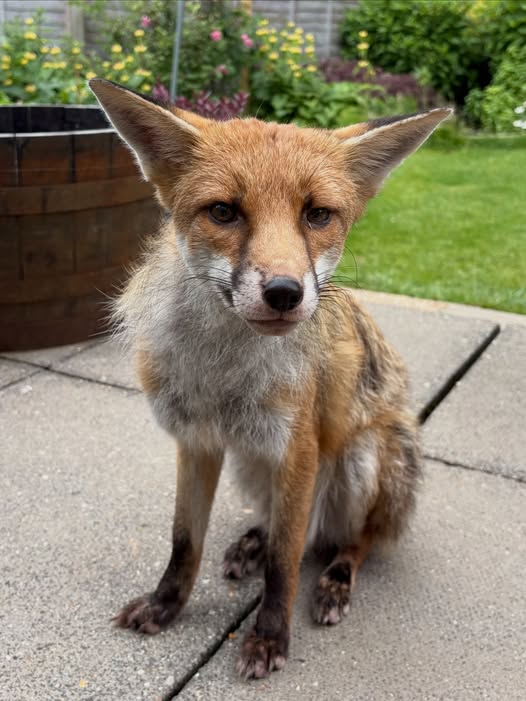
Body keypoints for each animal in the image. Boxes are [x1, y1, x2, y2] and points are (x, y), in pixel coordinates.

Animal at [89, 78, 451, 680]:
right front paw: (166, 605)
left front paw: (268, 638)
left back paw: (335, 580)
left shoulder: (297, 448)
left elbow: (285, 564)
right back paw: (251, 543)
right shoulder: (198, 442)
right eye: (224, 211)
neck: (223, 373)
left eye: (318, 215)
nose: (285, 293)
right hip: (251, 464)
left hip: (362, 462)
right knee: (291, 528)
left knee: (350, 541)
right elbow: (184, 542)